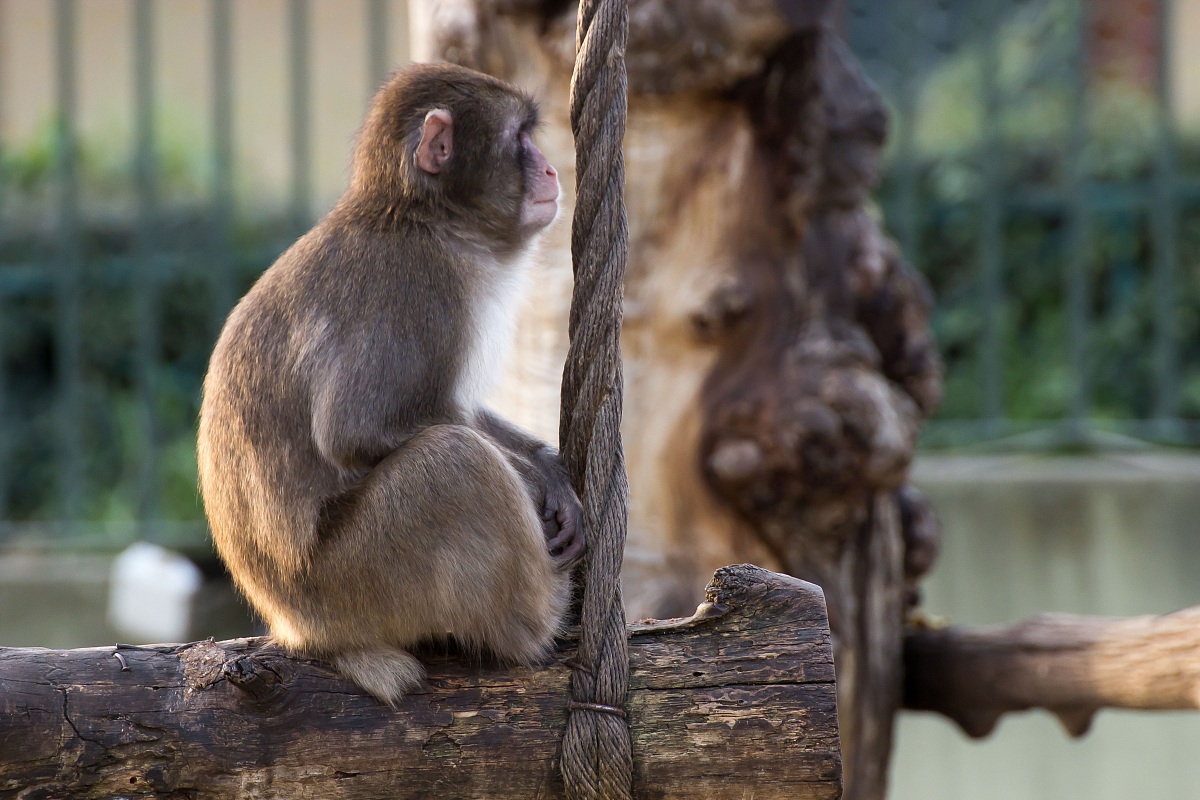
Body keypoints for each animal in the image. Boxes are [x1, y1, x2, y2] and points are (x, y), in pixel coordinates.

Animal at [197, 62, 584, 705]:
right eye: (520, 139)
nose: (552, 170)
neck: (422, 218)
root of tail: (302, 631)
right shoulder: (417, 287)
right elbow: (353, 430)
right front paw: (535, 481)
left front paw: (545, 466)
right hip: (359, 580)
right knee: (452, 461)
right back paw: (541, 619)